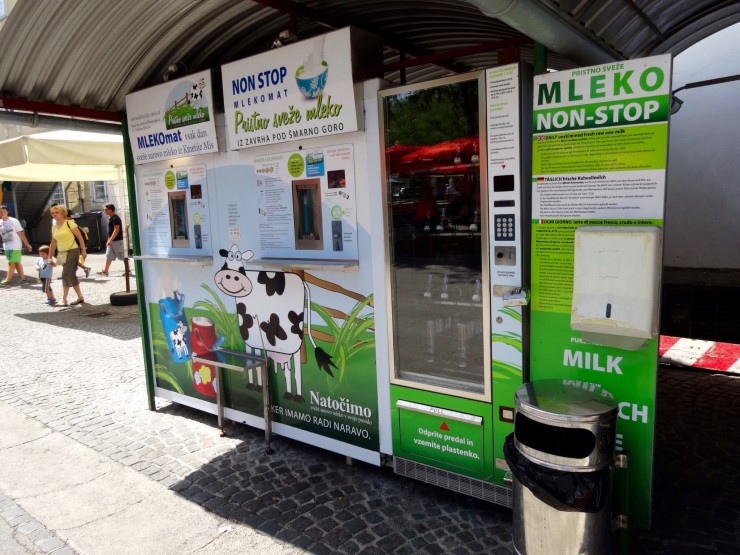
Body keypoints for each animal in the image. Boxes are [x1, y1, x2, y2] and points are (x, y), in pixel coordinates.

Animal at [211, 245, 332, 402]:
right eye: (228, 256)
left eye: (237, 256)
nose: (230, 276)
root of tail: (301, 281)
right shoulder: (251, 336)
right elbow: (255, 362)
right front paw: (255, 386)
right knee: (288, 370)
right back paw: (288, 394)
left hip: (294, 339)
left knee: (295, 371)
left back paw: (298, 397)